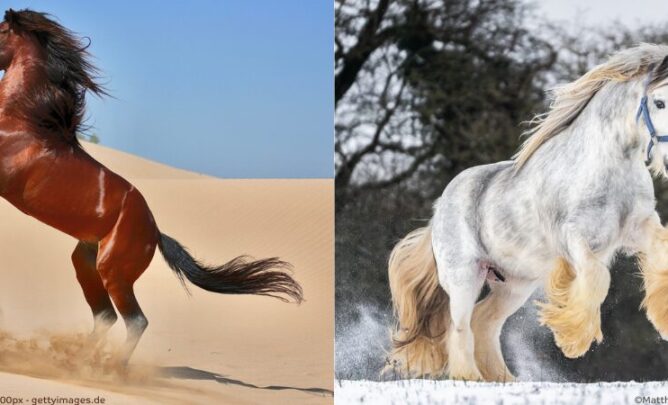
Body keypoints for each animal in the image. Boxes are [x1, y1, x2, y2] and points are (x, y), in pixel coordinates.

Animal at [0, 9, 303, 363]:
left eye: (1, 31)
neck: (24, 120)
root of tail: (155, 231)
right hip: (87, 262)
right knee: (106, 316)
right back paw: (74, 361)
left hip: (115, 272)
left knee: (135, 320)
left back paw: (108, 368)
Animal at [387, 43, 668, 382]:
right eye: (659, 101)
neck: (607, 166)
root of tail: (439, 208)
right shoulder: (574, 238)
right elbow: (597, 278)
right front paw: (573, 340)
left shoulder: (640, 227)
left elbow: (662, 256)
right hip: (464, 276)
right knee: (460, 328)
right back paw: (470, 377)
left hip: (513, 284)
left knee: (485, 323)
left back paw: (503, 380)